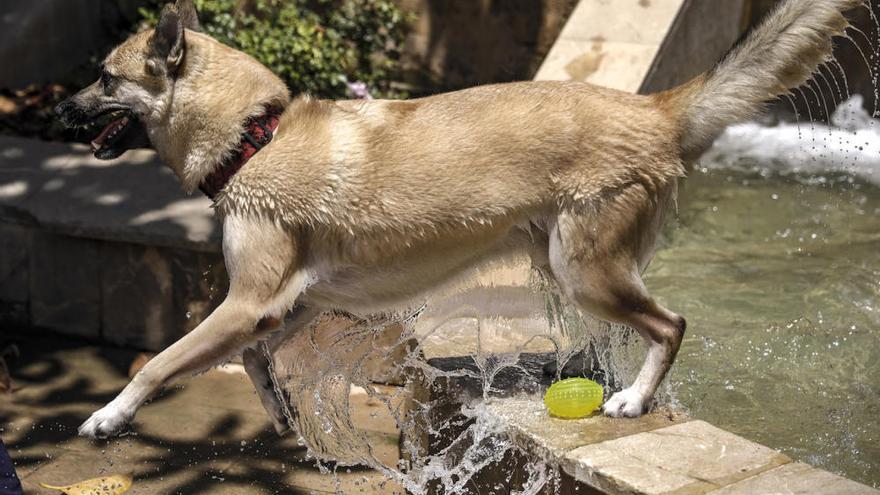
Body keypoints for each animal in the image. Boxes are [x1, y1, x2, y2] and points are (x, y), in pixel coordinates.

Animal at [58, 0, 864, 440]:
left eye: (103, 77)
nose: (59, 109)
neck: (255, 135)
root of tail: (657, 110)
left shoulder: (249, 300)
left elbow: (159, 361)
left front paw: (108, 417)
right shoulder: (284, 306)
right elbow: (256, 358)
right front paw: (279, 410)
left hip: (587, 271)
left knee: (671, 325)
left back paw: (633, 398)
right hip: (566, 268)